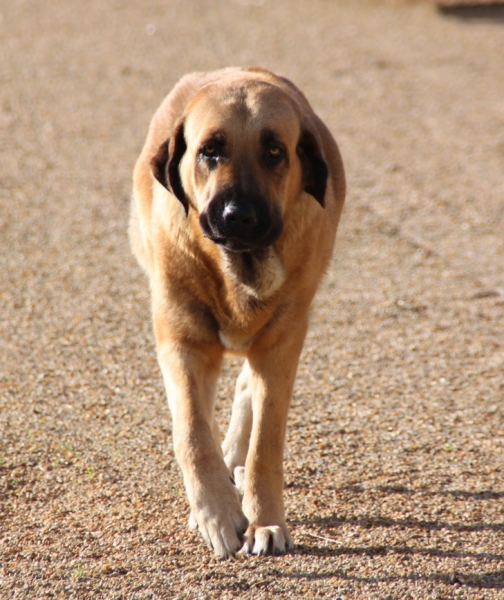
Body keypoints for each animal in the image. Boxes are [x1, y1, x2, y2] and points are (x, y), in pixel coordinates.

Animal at [128, 68, 344, 560]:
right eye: (211, 149)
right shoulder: (181, 342)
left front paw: (264, 521)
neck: (237, 268)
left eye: (275, 151)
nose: (237, 215)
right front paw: (216, 512)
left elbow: (265, 443)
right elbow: (191, 433)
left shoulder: (282, 345)